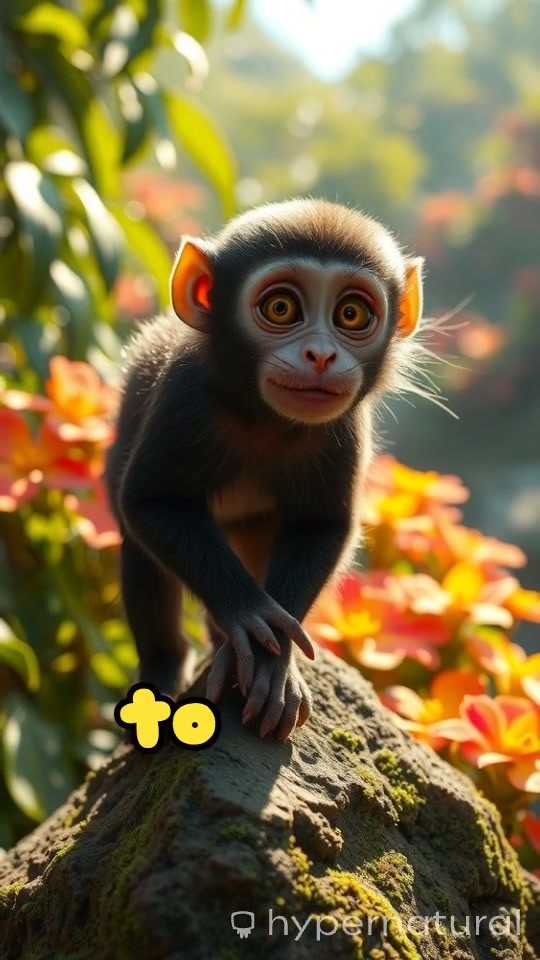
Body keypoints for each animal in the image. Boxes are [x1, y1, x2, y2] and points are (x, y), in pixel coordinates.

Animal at [105, 198, 424, 741]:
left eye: (351, 314)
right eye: (281, 308)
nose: (321, 355)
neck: (265, 419)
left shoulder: (343, 429)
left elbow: (321, 525)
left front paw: (277, 668)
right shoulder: (186, 395)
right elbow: (151, 503)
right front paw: (249, 616)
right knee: (141, 555)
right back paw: (166, 673)